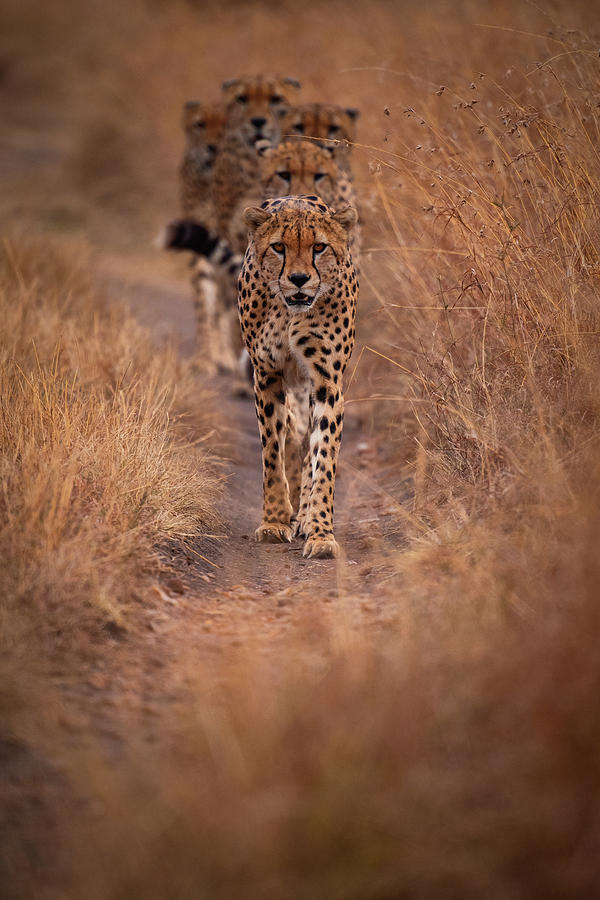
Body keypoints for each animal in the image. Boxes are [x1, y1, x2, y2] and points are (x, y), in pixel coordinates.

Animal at [237, 197, 358, 560]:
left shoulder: (326, 381)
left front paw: (320, 532)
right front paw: (275, 521)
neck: (291, 312)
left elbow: (324, 457)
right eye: (279, 247)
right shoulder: (267, 374)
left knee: (307, 444)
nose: (300, 278)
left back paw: (304, 514)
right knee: (292, 434)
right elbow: (272, 453)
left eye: (319, 247)